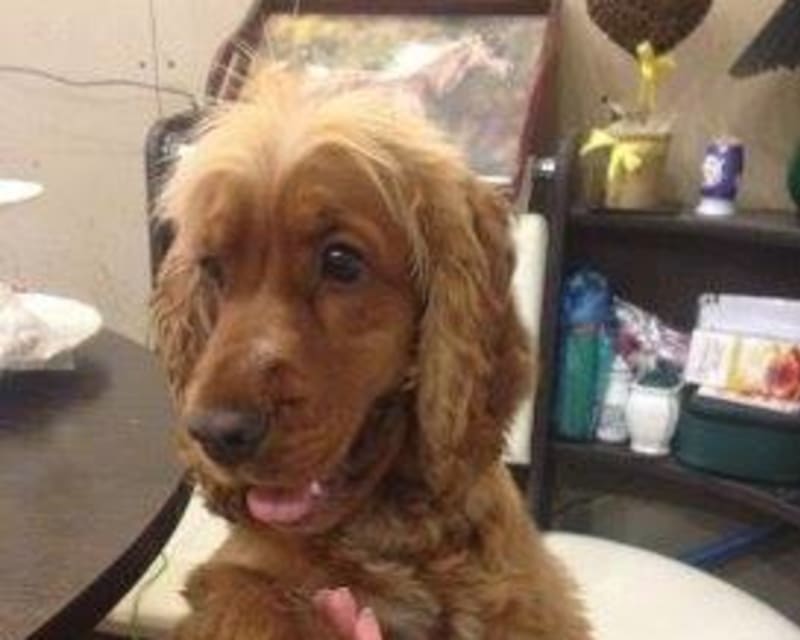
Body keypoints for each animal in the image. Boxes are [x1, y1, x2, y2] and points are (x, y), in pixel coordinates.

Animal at [152, 67, 591, 640]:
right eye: (212, 268)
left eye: (341, 262)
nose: (216, 434)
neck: (387, 531)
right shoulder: (240, 578)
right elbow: (253, 601)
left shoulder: (524, 600)